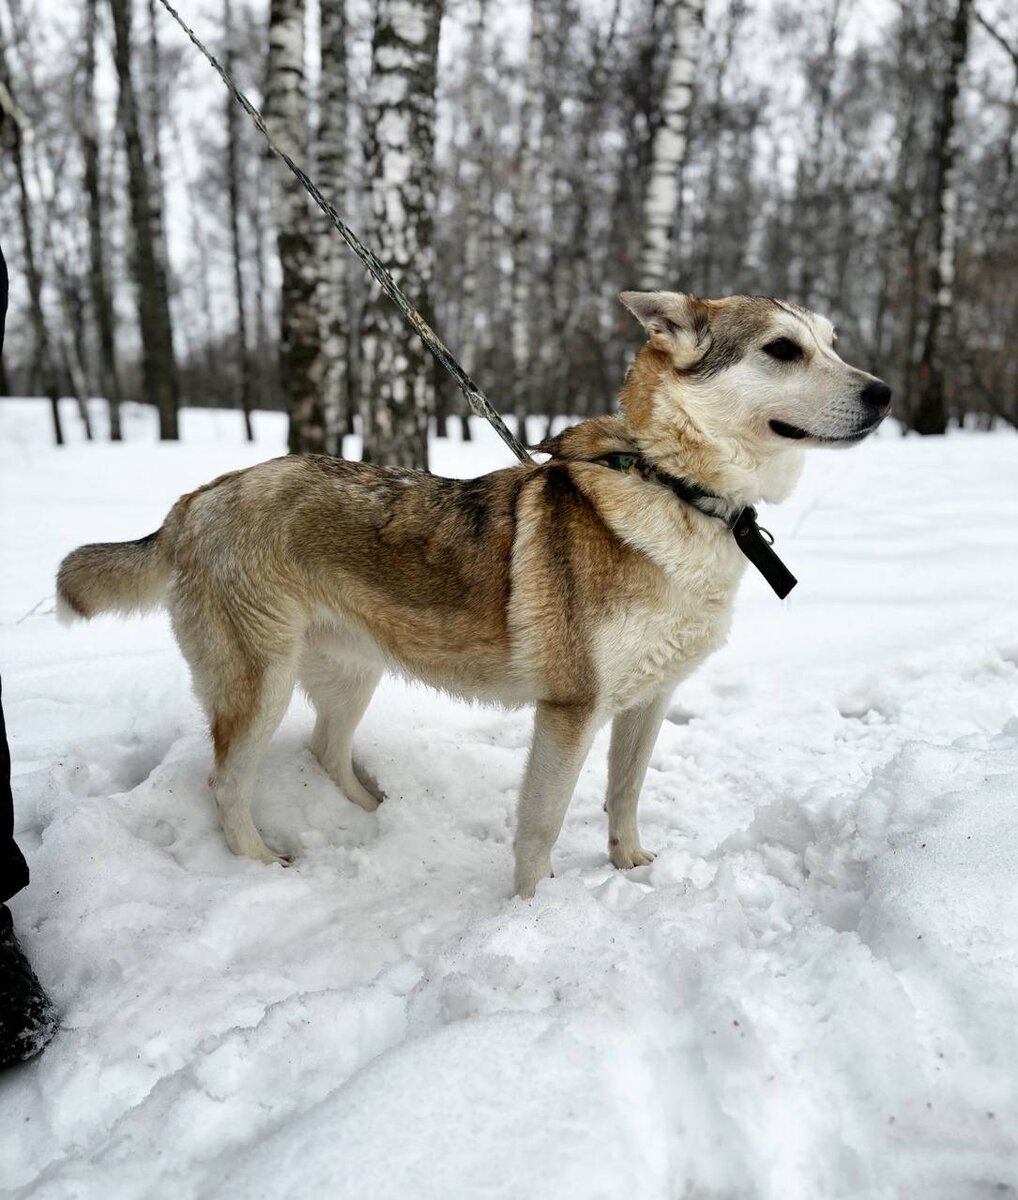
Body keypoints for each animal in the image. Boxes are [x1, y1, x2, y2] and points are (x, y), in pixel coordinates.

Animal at [55, 292, 893, 892]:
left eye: (832, 341)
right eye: (782, 350)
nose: (885, 393)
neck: (675, 488)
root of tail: (198, 498)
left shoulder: (647, 703)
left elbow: (623, 798)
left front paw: (630, 870)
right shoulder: (570, 712)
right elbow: (540, 830)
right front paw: (531, 914)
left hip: (351, 673)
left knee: (327, 751)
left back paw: (379, 813)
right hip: (261, 687)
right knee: (225, 782)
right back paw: (260, 864)